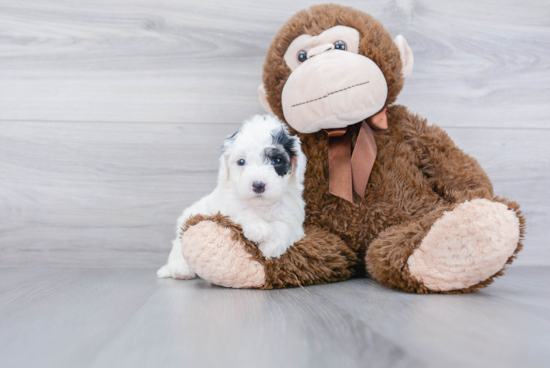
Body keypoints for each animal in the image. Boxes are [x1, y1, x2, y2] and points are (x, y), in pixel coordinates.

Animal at [157, 115, 308, 278]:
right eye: (241, 161)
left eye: (277, 161)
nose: (258, 185)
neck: (260, 206)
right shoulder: (224, 207)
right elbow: (241, 212)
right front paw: (258, 228)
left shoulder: (294, 221)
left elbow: (284, 226)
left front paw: (271, 245)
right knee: (178, 248)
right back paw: (181, 269)